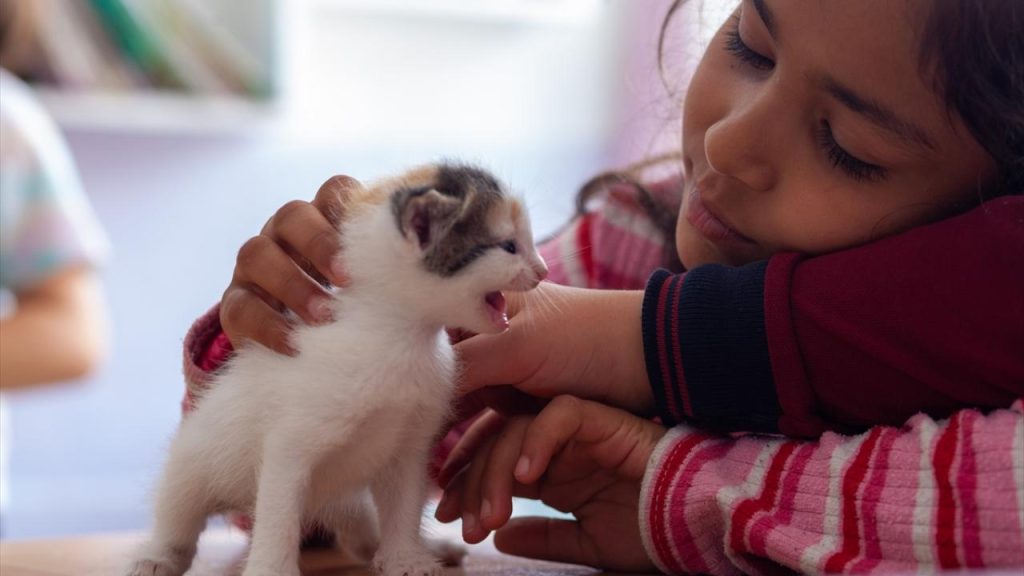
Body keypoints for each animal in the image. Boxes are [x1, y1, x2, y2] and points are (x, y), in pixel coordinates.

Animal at [129, 161, 552, 573]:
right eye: (508, 246)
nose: (543, 269)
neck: (399, 336)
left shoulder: (409, 446)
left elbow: (404, 505)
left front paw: (406, 558)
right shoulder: (288, 448)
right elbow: (277, 516)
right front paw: (271, 569)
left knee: (360, 533)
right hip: (192, 462)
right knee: (178, 512)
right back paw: (158, 556)